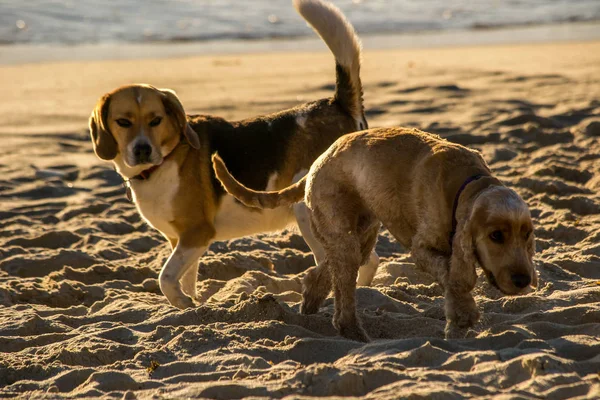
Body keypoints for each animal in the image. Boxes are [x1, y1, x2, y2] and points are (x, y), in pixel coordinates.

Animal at [88, 0, 376, 310]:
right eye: (123, 122)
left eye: (156, 120)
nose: (142, 149)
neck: (166, 159)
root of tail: (338, 105)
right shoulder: (180, 240)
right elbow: (186, 278)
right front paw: (192, 305)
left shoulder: (196, 234)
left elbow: (166, 278)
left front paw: (183, 302)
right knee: (368, 259)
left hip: (308, 213)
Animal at [212, 127, 540, 340]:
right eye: (496, 235)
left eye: (526, 235)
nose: (523, 280)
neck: (468, 186)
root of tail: (319, 159)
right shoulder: (422, 249)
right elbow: (452, 276)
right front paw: (462, 317)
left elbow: (452, 279)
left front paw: (457, 322)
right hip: (342, 229)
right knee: (342, 294)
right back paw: (353, 332)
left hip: (362, 235)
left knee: (324, 270)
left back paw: (311, 303)